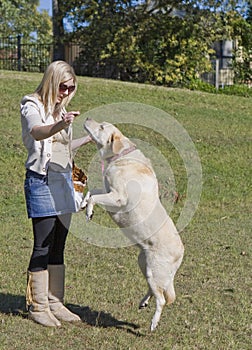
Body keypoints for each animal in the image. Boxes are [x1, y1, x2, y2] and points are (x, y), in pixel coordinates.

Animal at [82, 117, 183, 330]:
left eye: (101, 127)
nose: (87, 118)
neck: (120, 156)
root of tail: (181, 253)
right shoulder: (108, 191)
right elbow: (92, 192)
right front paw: (84, 204)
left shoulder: (118, 198)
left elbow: (95, 197)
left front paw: (89, 211)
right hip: (144, 264)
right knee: (154, 290)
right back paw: (143, 302)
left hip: (155, 271)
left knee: (162, 299)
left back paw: (154, 322)